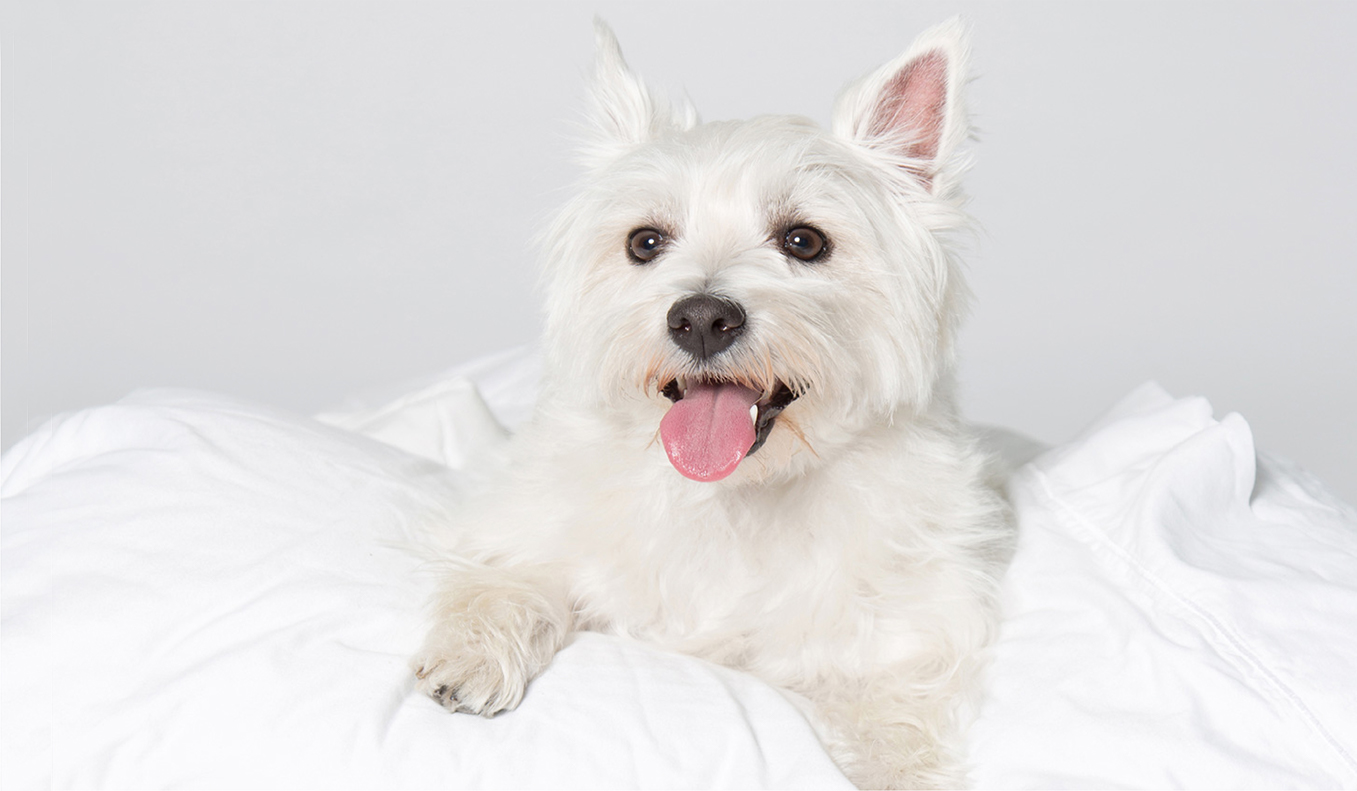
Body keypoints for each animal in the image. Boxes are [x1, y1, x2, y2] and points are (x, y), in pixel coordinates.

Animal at [417, 20, 1015, 791]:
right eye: (645, 241)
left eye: (804, 240)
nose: (701, 318)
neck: (733, 497)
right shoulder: (525, 523)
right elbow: (507, 575)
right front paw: (474, 653)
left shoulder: (905, 633)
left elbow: (894, 717)